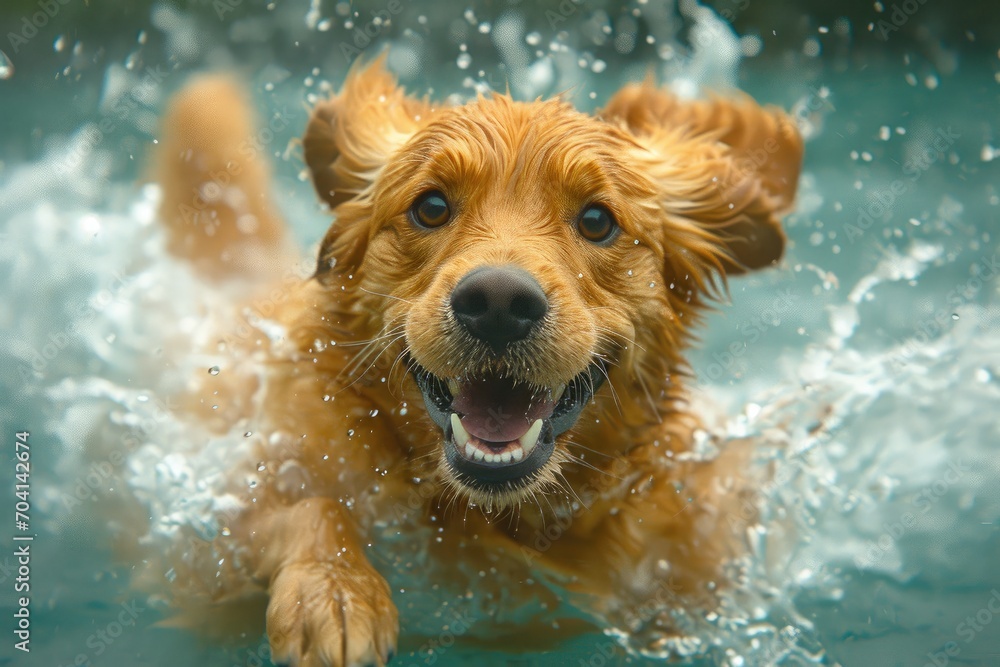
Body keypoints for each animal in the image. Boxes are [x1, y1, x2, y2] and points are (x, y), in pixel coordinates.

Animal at [148, 57, 800, 667]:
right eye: (431, 207)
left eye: (597, 220)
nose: (498, 303)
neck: (487, 516)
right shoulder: (205, 539)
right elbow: (309, 507)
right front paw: (335, 591)